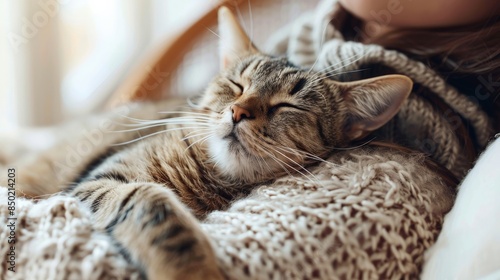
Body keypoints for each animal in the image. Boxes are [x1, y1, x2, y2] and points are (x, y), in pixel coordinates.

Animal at [1, 6, 412, 280]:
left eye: (286, 105)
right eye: (236, 85)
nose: (238, 112)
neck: (209, 179)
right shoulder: (98, 180)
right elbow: (151, 202)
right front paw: (189, 269)